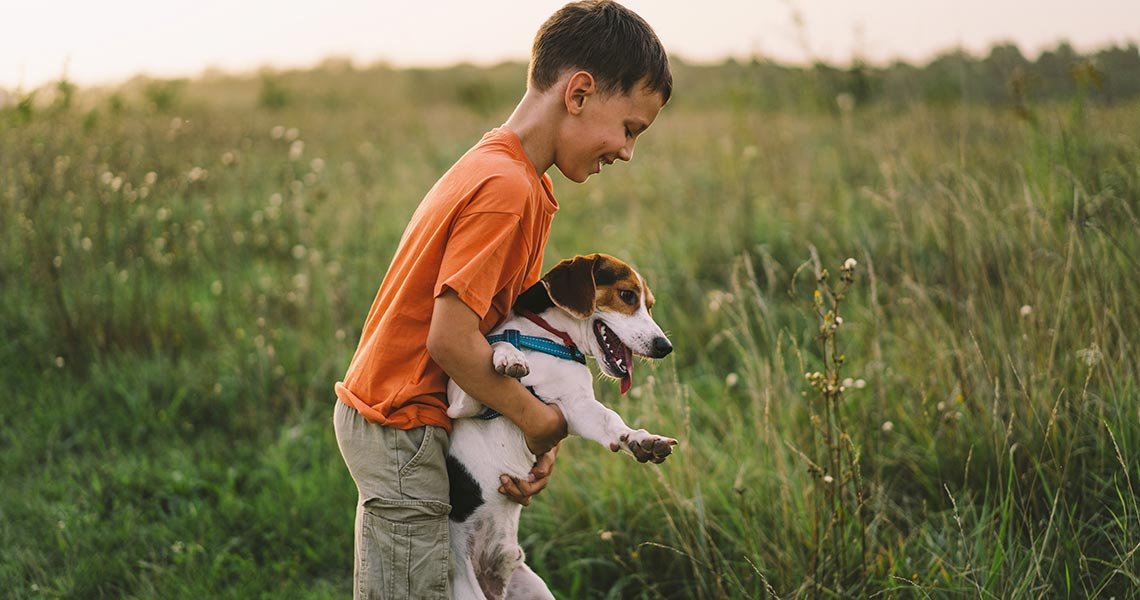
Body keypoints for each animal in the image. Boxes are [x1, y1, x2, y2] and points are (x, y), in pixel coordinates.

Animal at [444, 254, 674, 600]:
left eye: (649, 305)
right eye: (627, 295)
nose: (665, 346)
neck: (547, 338)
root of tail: (492, 578)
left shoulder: (575, 408)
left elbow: (611, 421)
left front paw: (641, 440)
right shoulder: (459, 401)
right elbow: (496, 347)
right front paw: (509, 356)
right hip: (465, 591)